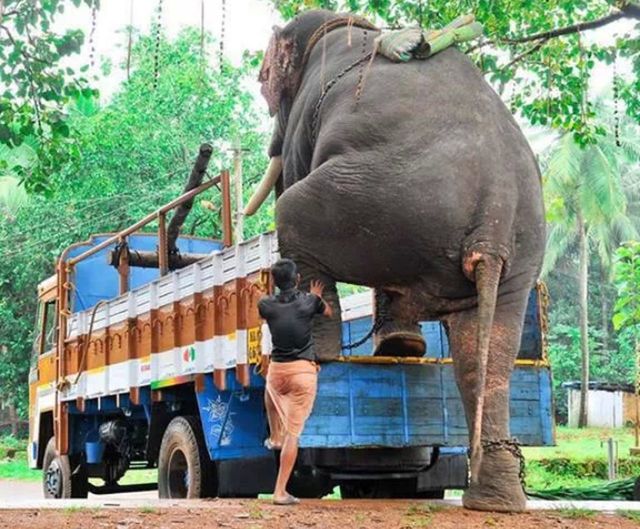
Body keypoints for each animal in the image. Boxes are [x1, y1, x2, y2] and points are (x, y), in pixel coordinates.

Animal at [245, 9, 544, 512]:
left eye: (265, 80)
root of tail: (494, 210)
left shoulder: (305, 117)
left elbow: (292, 172)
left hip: (377, 198)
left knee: (294, 211)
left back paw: (325, 353)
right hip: (513, 254)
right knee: (485, 356)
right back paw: (494, 500)